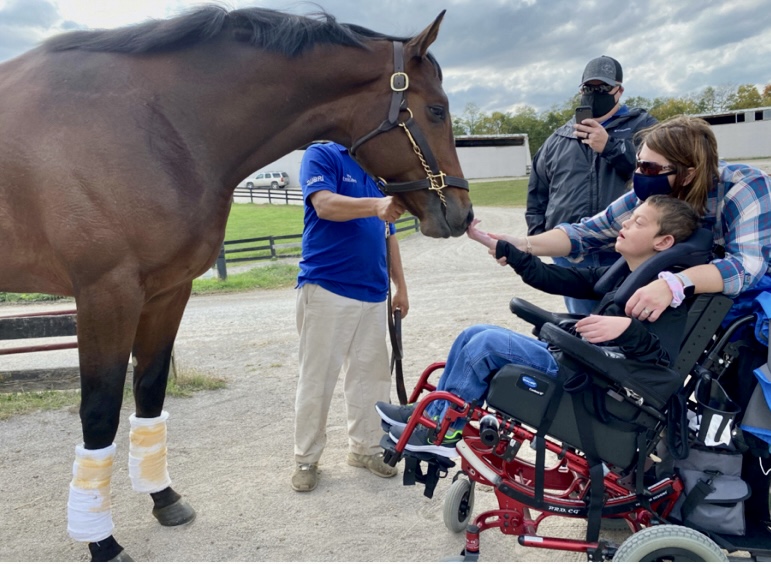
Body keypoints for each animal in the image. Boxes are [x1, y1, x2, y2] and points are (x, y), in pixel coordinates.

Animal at [0, 5, 470, 564]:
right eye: (437, 110)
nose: (463, 213)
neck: (153, 122)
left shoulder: (166, 291)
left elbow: (149, 392)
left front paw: (164, 499)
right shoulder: (105, 294)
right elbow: (98, 414)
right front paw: (102, 541)